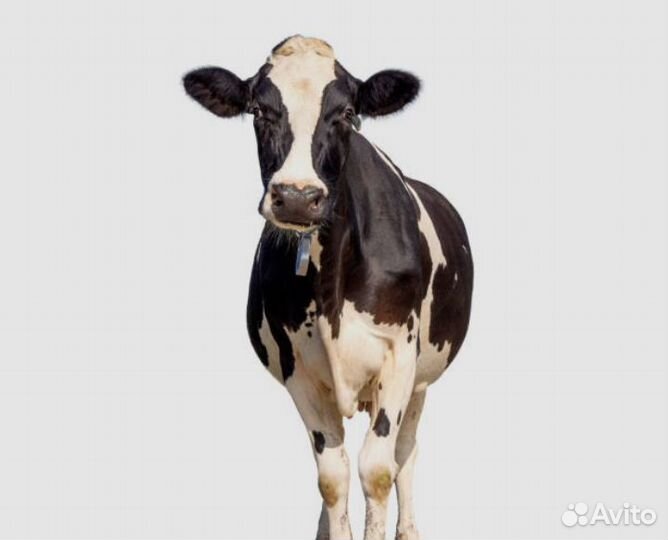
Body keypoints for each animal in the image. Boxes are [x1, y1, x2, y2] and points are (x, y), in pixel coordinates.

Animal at [183, 35, 473, 540]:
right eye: (259, 110)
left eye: (346, 114)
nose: (298, 197)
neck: (331, 279)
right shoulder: (298, 369)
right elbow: (332, 476)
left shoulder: (399, 358)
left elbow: (378, 469)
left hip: (423, 378)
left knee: (407, 453)